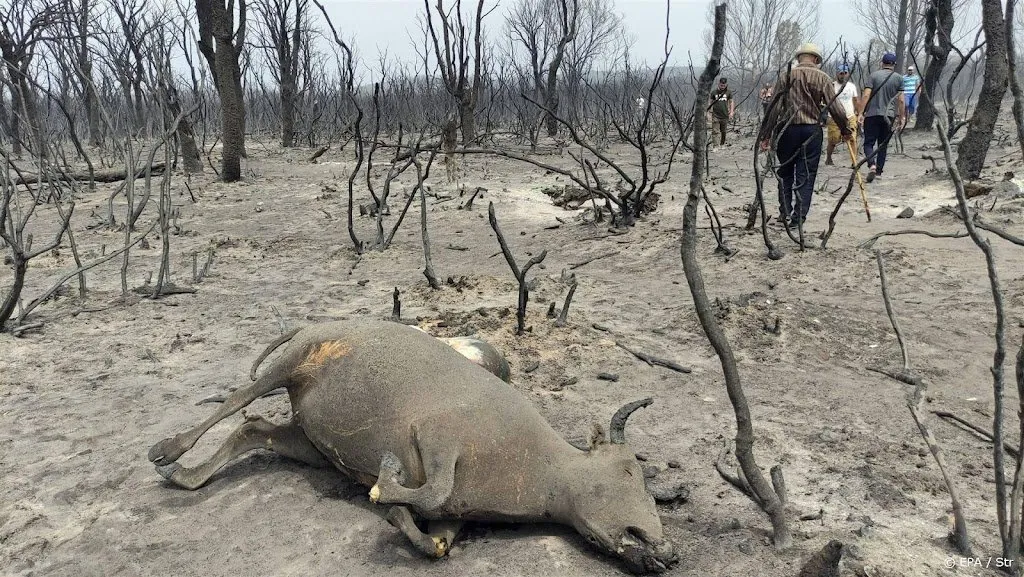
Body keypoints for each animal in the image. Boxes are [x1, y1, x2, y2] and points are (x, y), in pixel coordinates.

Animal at [148, 317, 675, 573]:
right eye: (629, 471)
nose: (668, 552)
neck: (546, 468)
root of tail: (315, 326)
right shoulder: (439, 436)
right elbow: (429, 487)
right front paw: (386, 488)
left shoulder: (455, 514)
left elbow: (437, 543)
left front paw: (399, 516)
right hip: (290, 365)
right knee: (237, 400)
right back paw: (167, 452)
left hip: (310, 441)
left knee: (253, 428)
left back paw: (187, 476)